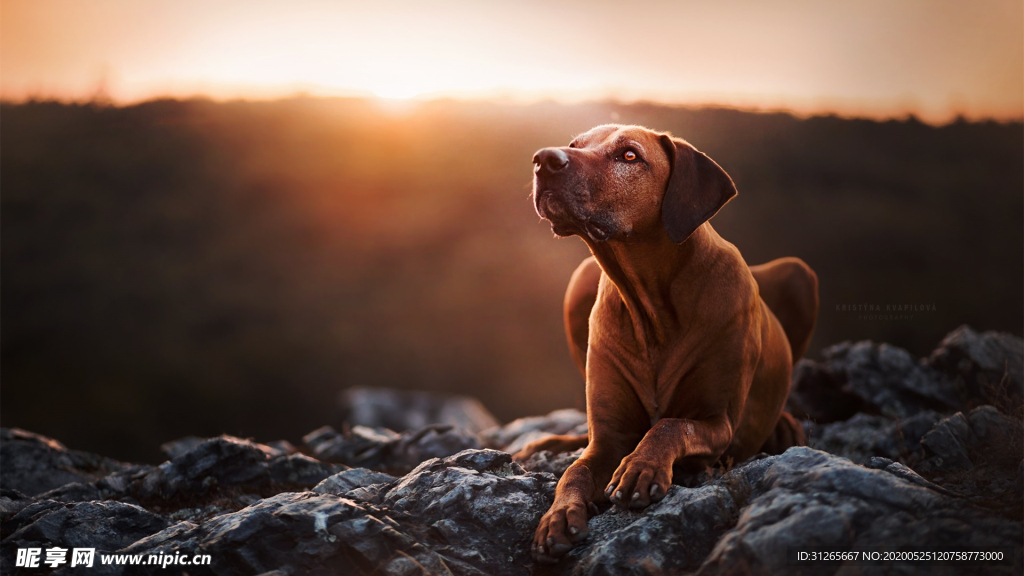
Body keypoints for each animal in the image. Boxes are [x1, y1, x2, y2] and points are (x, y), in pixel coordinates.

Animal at [520, 124, 815, 561]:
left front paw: (641, 468)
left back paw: (785, 426)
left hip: (799, 273)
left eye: (629, 155)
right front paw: (557, 517)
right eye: (575, 145)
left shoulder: (719, 422)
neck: (651, 307)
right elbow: (575, 470)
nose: (543, 160)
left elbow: (671, 425)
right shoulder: (608, 439)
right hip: (579, 280)